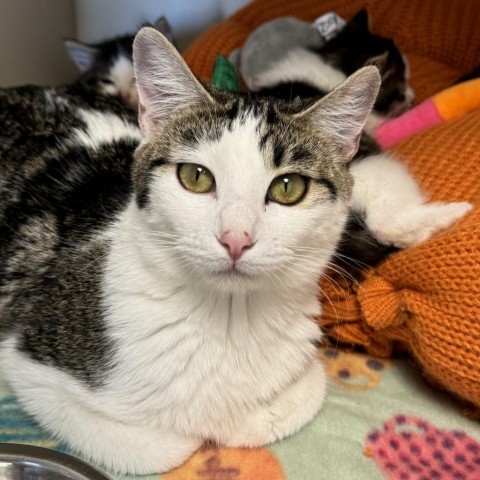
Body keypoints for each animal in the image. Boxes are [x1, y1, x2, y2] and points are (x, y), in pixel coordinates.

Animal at [0, 29, 472, 476]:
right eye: (195, 177)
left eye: (289, 187)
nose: (235, 238)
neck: (228, 320)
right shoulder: (28, 363)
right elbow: (162, 445)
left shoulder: (302, 365)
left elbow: (295, 399)